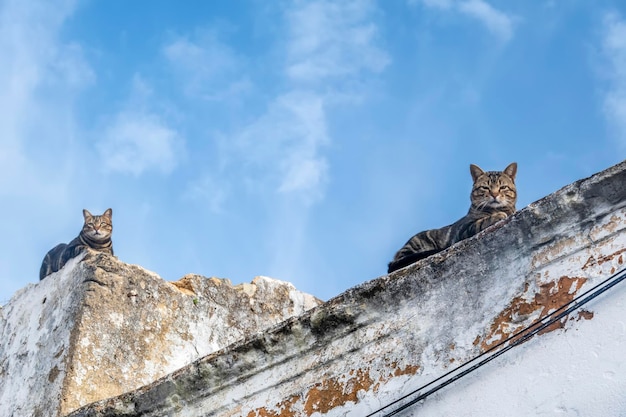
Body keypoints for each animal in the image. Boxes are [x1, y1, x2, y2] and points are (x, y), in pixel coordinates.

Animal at [386, 162, 516, 272]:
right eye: (485, 188)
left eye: (503, 187)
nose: (494, 194)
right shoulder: (464, 230)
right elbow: (483, 221)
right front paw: (498, 215)